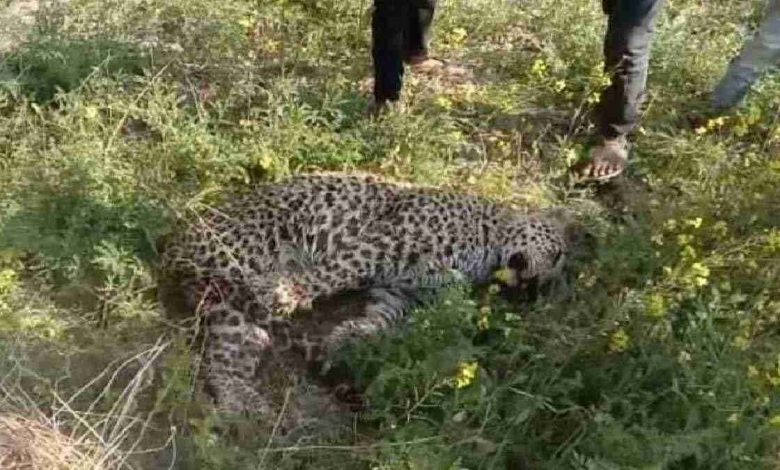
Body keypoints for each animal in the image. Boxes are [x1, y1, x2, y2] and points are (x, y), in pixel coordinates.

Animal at [159, 173, 572, 418]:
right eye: (556, 254)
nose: (535, 289)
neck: (488, 248)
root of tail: (175, 247)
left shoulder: (403, 291)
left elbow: (380, 318)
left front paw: (347, 336)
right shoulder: (384, 241)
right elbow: (336, 270)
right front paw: (289, 293)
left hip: (231, 311)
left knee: (224, 357)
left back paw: (241, 403)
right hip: (253, 247)